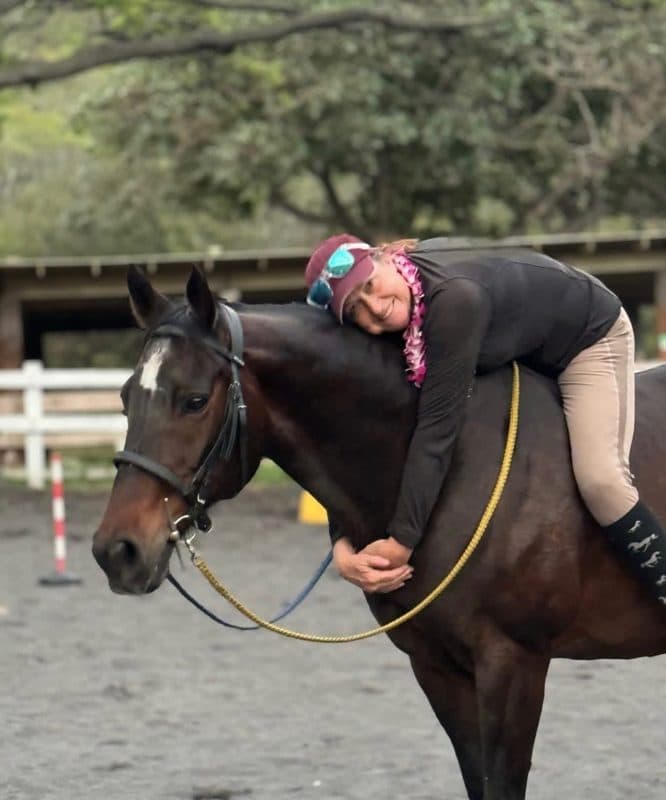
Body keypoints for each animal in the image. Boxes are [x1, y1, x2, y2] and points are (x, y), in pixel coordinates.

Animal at [92, 266, 666, 800]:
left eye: (193, 400)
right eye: (124, 397)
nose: (117, 550)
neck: (448, 472)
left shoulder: (513, 665)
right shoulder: (436, 666)